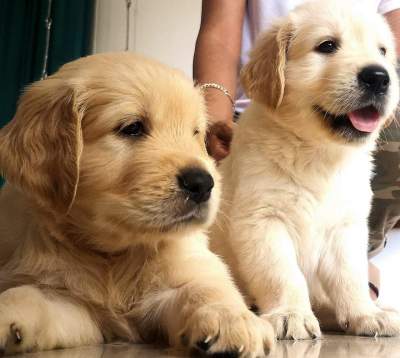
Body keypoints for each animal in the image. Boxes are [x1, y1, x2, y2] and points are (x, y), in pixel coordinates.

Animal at [0, 52, 274, 356]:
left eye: (196, 133)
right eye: (132, 128)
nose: (203, 183)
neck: (116, 253)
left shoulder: (183, 272)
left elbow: (204, 288)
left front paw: (231, 319)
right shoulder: (71, 303)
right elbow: (29, 294)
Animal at [212, 0, 400, 340]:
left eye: (382, 52)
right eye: (327, 46)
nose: (379, 77)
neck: (319, 154)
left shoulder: (346, 229)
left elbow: (350, 277)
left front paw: (365, 314)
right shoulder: (262, 220)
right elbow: (282, 274)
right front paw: (290, 314)